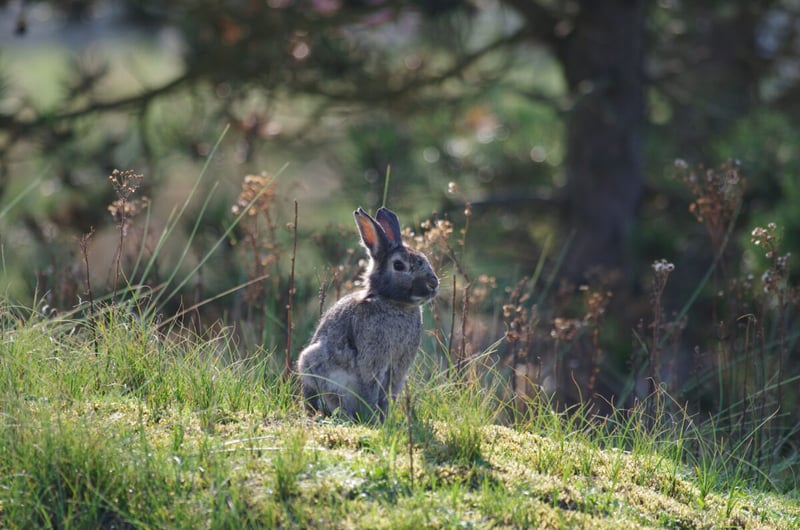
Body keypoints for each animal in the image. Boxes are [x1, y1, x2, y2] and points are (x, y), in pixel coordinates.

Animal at [297, 207, 439, 422]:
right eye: (399, 265)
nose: (434, 284)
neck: (393, 302)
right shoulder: (372, 360)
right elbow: (371, 388)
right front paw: (374, 419)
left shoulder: (398, 368)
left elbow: (388, 394)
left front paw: (384, 419)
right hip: (314, 365)